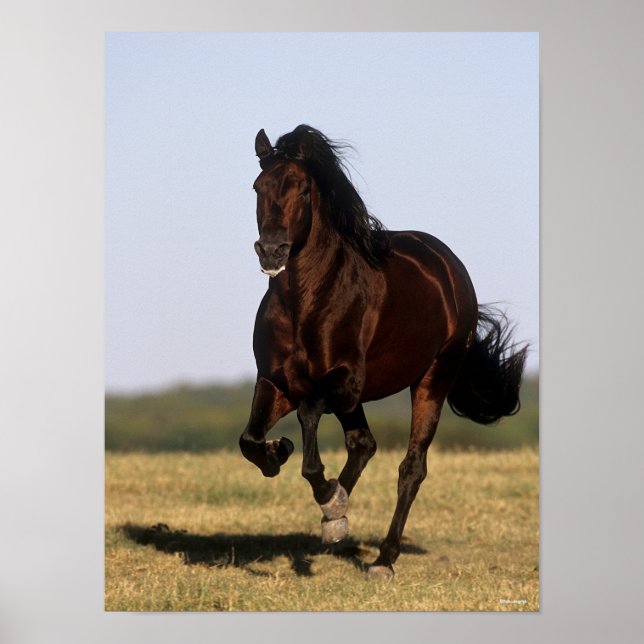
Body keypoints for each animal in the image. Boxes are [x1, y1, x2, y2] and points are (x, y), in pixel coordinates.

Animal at [239, 125, 527, 579]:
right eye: (257, 187)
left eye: (302, 189)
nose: (272, 251)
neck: (306, 302)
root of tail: (449, 266)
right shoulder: (275, 381)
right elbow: (249, 440)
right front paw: (281, 455)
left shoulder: (344, 382)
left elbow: (308, 418)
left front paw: (326, 494)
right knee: (363, 443)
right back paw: (335, 521)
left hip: (433, 378)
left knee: (411, 467)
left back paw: (382, 559)